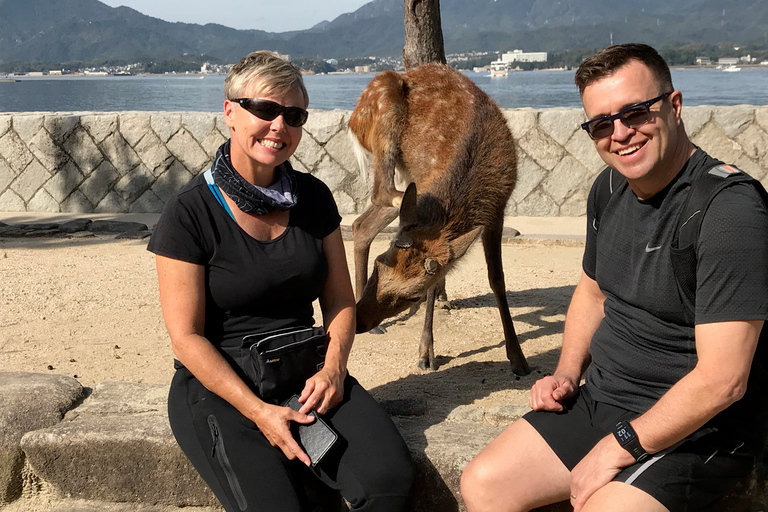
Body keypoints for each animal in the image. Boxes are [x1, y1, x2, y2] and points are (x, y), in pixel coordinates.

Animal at [346, 64, 532, 376]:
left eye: (413, 295)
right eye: (378, 265)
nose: (359, 321)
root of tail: (352, 120)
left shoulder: (498, 209)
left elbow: (496, 279)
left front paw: (518, 358)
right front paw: (426, 354)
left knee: (363, 224)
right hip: (383, 110)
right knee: (380, 192)